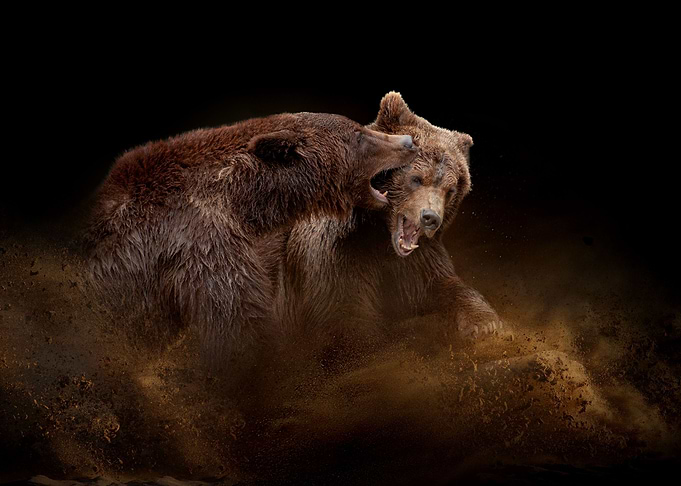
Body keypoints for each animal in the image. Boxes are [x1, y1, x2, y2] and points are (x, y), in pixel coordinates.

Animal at [275, 92, 502, 344]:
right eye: (416, 178)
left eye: (450, 190)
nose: (430, 218)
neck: (379, 236)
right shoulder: (336, 257)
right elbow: (346, 317)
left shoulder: (418, 262)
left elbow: (446, 285)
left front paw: (485, 323)